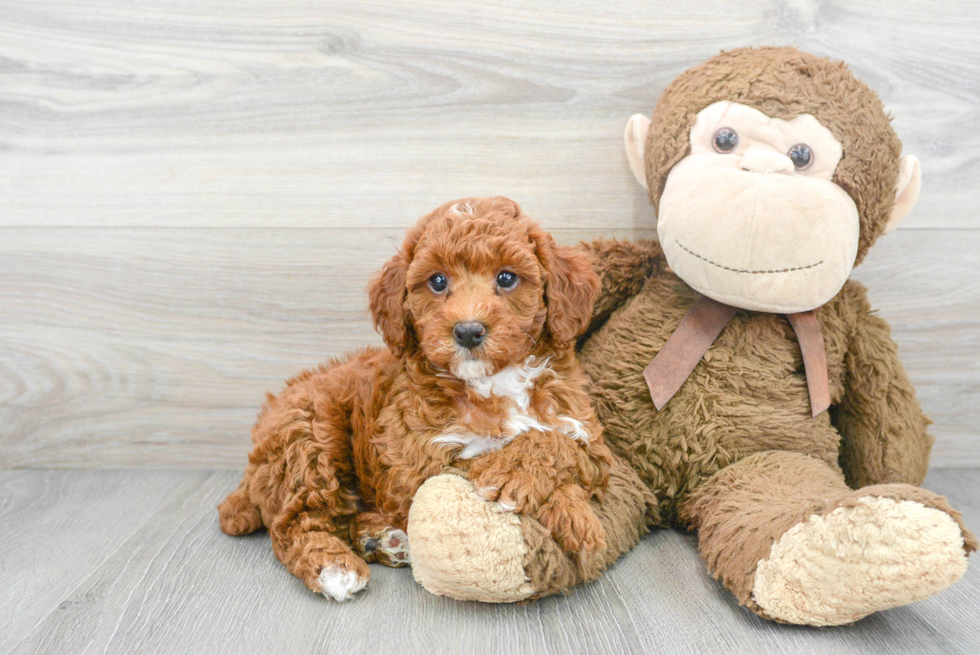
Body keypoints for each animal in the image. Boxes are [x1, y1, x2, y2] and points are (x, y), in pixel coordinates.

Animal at [222, 197, 612, 604]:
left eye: (507, 278)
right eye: (437, 281)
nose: (468, 331)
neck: (493, 381)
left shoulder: (589, 437)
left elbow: (557, 442)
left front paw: (571, 511)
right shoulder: (414, 463)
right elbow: (473, 462)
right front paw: (569, 513)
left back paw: (383, 540)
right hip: (311, 436)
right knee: (294, 522)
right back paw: (335, 568)